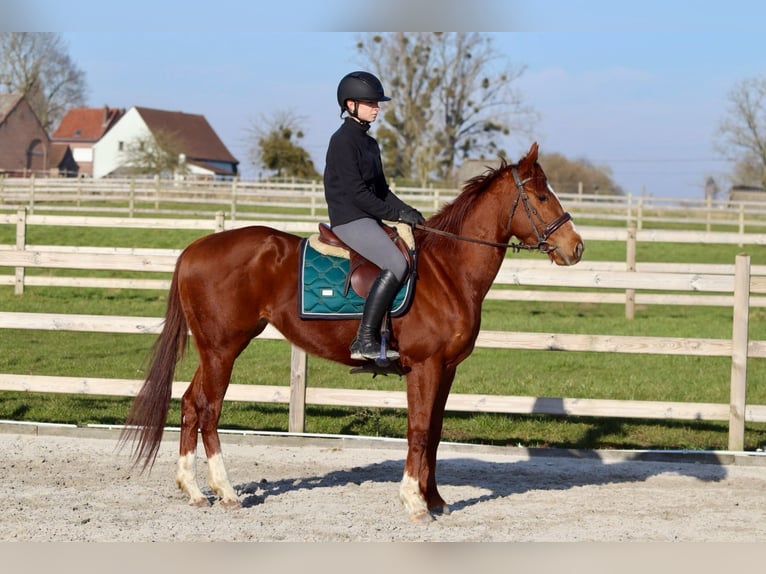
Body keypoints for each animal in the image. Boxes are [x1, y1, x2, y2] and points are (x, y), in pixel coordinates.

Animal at [123, 142, 584, 524]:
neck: (448, 271)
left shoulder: (447, 369)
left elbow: (434, 434)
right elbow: (418, 432)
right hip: (223, 349)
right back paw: (227, 491)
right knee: (209, 410)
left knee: (189, 404)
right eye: (542, 197)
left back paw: (194, 490)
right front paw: (414, 503)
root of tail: (194, 249)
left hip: (214, 349)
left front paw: (435, 499)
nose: (576, 247)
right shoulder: (425, 367)